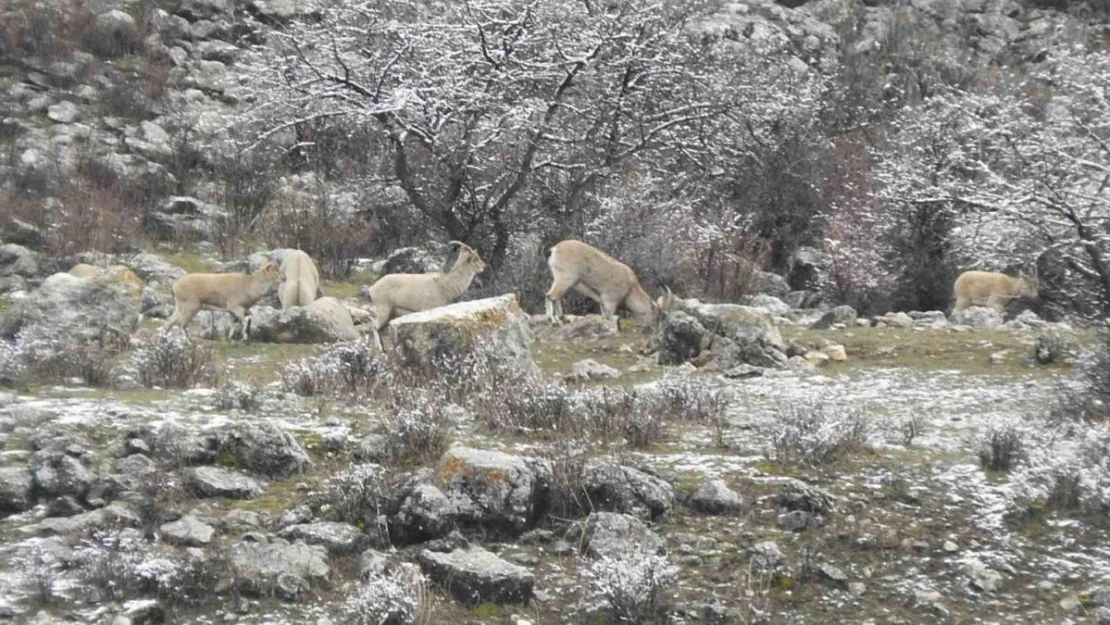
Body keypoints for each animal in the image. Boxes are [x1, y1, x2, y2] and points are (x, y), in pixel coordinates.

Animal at [543, 238, 674, 328]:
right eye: (657, 316)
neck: (629, 288)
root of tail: (554, 250)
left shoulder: (602, 302)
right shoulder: (609, 302)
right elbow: (609, 318)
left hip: (563, 280)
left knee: (556, 297)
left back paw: (564, 319)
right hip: (565, 278)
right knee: (550, 296)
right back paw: (553, 321)